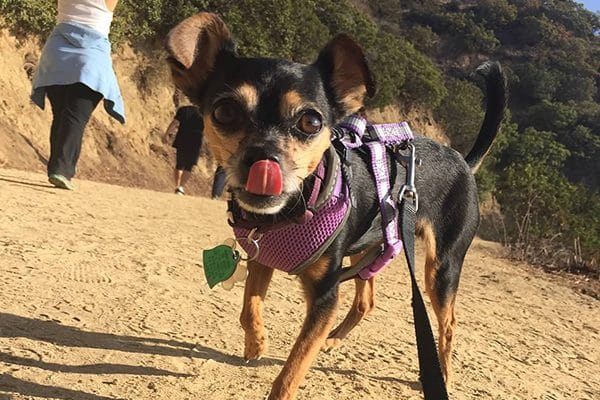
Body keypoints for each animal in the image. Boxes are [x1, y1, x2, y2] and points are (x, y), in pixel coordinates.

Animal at [164, 12, 506, 400]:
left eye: (311, 121)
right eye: (223, 111)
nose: (262, 159)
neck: (292, 211)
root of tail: (463, 160)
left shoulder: (325, 296)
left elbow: (291, 371)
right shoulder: (262, 261)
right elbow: (249, 307)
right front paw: (256, 343)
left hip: (441, 267)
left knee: (447, 322)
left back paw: (443, 374)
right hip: (372, 247)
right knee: (365, 301)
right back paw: (332, 339)